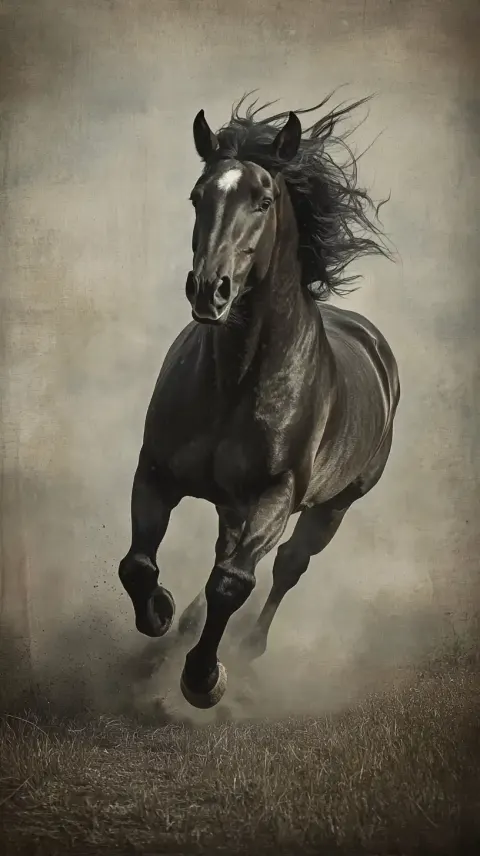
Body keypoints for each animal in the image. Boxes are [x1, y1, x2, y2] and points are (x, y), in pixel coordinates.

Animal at [118, 94, 400, 710]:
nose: (210, 290)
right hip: (235, 505)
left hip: (332, 505)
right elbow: (138, 566)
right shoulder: (155, 471)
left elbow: (232, 583)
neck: (238, 379)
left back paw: (247, 648)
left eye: (263, 200)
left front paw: (204, 679)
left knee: (286, 566)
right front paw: (161, 615)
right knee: (229, 554)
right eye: (198, 196)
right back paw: (180, 629)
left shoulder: (274, 495)